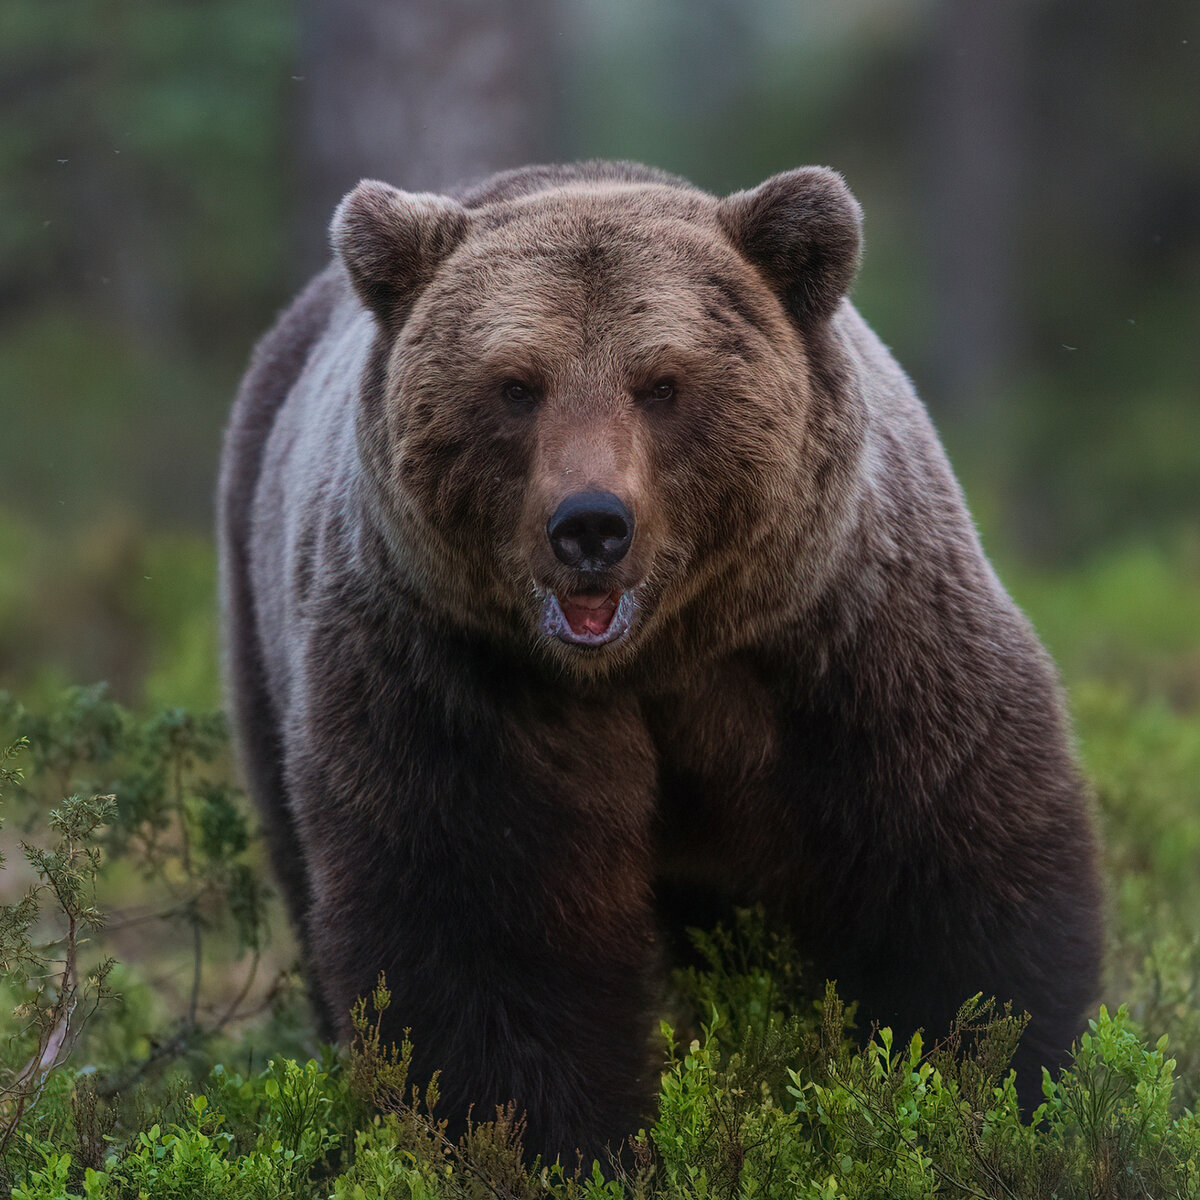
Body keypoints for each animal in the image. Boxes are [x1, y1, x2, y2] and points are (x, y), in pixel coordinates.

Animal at [218, 159, 1104, 1161]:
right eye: (516, 385)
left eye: (662, 383)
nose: (590, 525)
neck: (657, 659)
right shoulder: (460, 680)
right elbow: (486, 932)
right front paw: (554, 1140)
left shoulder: (849, 646)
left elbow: (950, 876)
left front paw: (993, 1083)